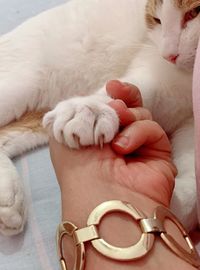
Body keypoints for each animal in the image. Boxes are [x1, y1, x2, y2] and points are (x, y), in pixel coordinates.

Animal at [0, 0, 198, 235]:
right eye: (157, 20)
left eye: (194, 13)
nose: (169, 55)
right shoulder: (154, 71)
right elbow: (133, 87)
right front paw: (89, 110)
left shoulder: (190, 125)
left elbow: (193, 182)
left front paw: (171, 205)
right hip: (19, 85)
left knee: (4, 136)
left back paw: (8, 198)